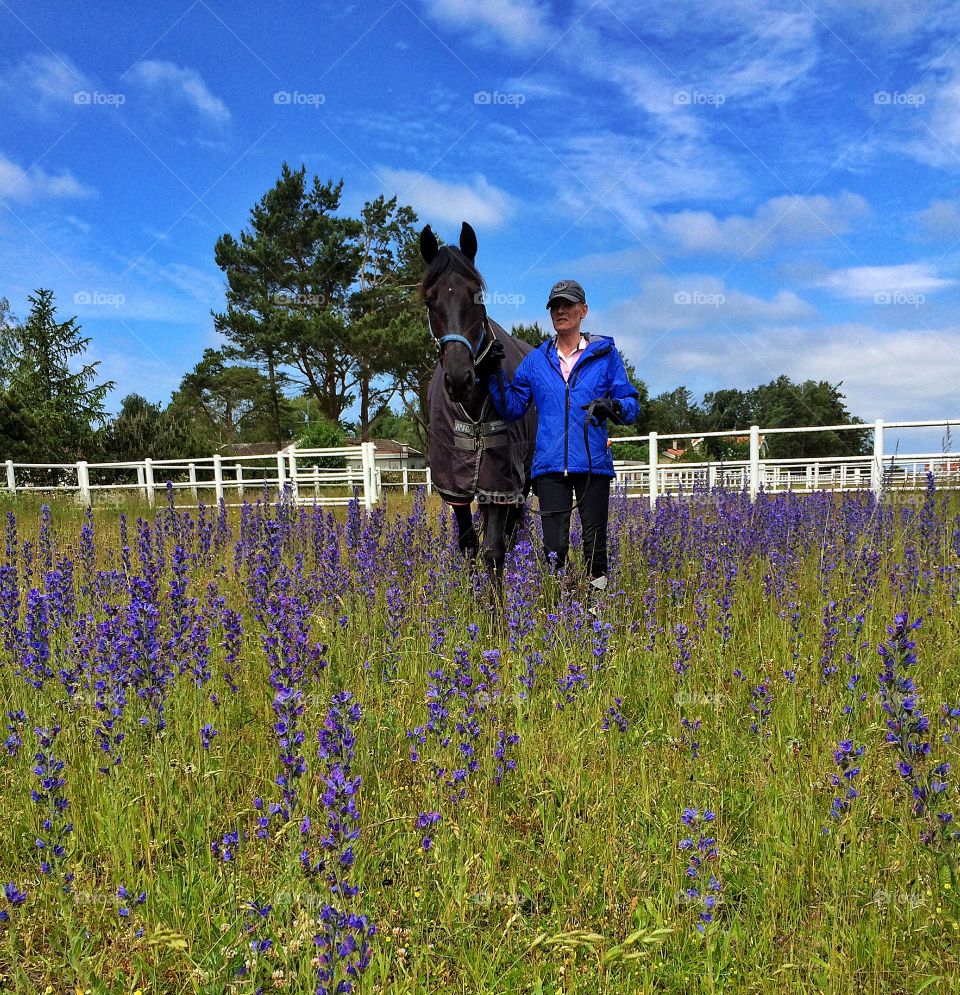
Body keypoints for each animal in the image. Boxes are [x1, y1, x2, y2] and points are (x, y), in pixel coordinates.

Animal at [422, 222, 540, 580]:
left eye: (477, 295)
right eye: (429, 300)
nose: (460, 379)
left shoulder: (499, 481)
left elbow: (494, 550)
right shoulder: (455, 486)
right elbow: (469, 544)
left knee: (513, 529)